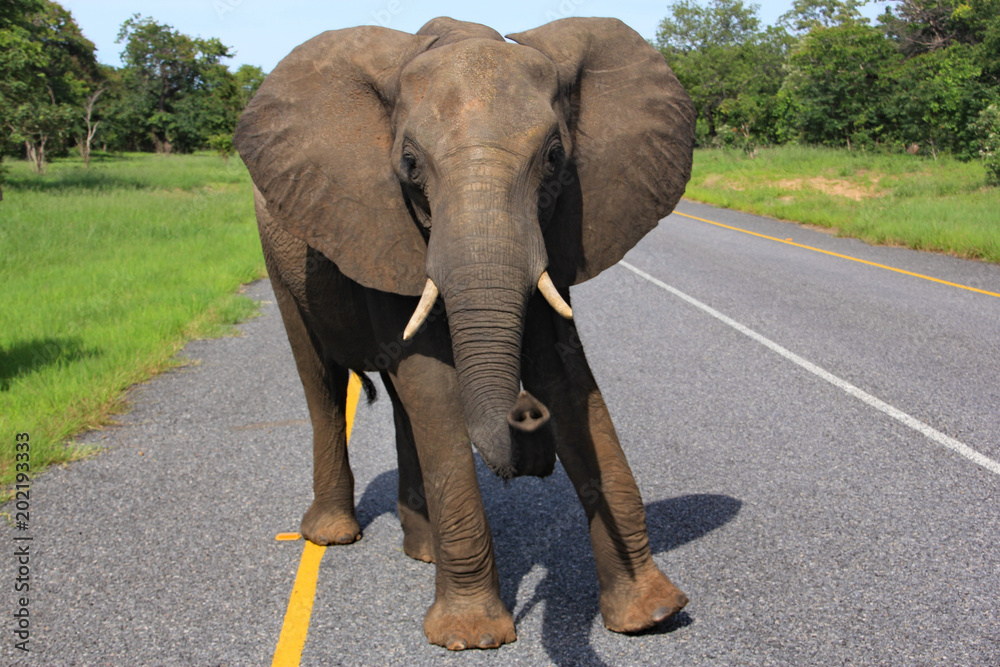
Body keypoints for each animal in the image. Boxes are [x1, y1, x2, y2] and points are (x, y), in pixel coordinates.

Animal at [234, 16, 695, 651]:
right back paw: (331, 535)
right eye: (409, 165)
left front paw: (653, 614)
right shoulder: (385, 224)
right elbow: (433, 381)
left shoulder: (556, 226)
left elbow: (564, 372)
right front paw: (472, 637)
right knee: (320, 379)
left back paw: (423, 551)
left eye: (555, 157)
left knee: (400, 403)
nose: (525, 410)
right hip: (277, 256)